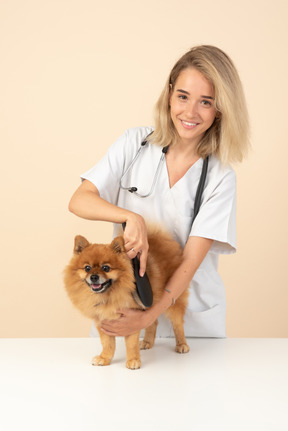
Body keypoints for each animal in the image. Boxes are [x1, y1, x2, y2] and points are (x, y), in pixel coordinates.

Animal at [63, 226, 189, 372]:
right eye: (87, 268)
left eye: (106, 268)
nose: (94, 276)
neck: (108, 295)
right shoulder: (104, 321)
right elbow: (107, 343)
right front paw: (104, 358)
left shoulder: (132, 320)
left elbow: (131, 345)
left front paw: (133, 360)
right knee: (153, 323)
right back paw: (147, 342)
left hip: (173, 303)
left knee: (177, 324)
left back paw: (181, 344)